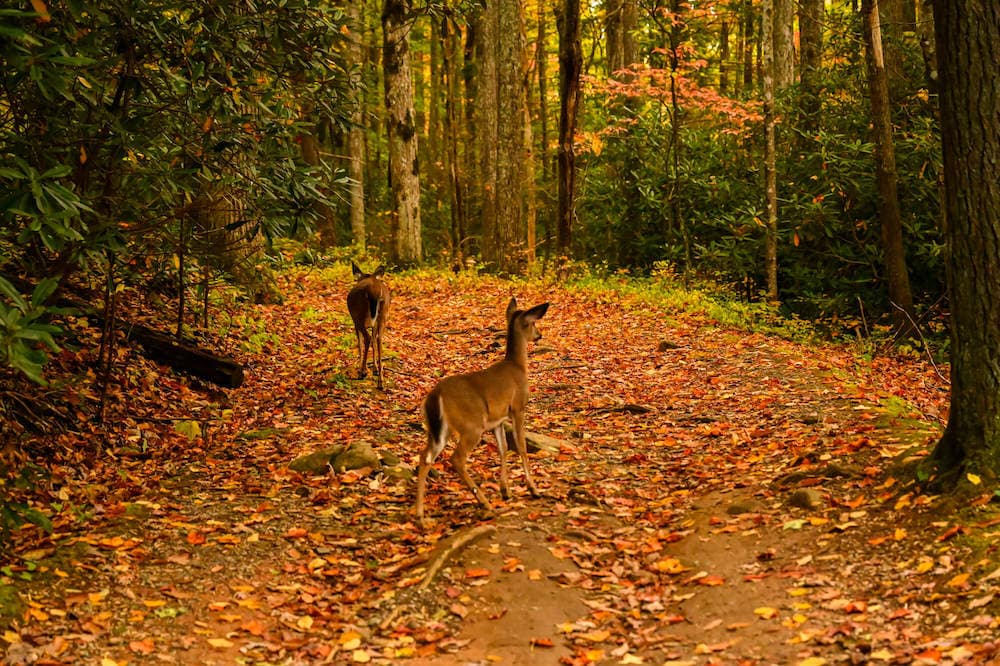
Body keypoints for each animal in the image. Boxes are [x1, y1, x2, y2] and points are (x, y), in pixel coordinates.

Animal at [416, 296, 556, 524]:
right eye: (533, 323)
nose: (539, 335)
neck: (518, 366)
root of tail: (435, 395)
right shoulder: (518, 407)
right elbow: (521, 447)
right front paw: (533, 488)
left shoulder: (497, 420)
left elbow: (503, 449)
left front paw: (506, 491)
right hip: (471, 425)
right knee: (456, 459)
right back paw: (485, 504)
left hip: (439, 429)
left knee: (425, 456)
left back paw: (420, 516)